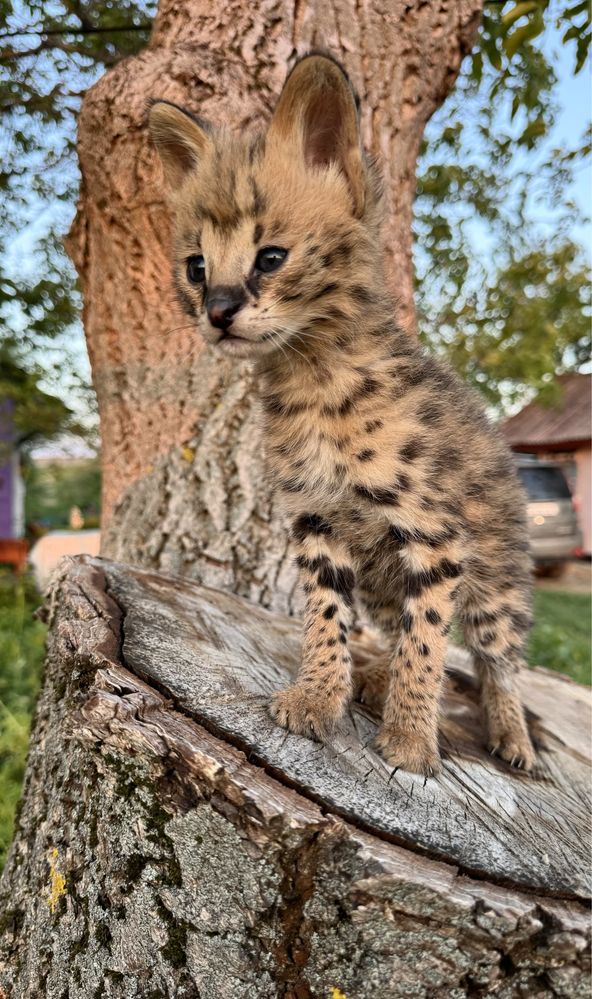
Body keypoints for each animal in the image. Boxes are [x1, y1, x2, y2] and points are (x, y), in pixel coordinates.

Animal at [149, 54, 536, 776]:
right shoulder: (318, 517)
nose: (216, 312)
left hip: (497, 582)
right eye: (195, 267)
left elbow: (428, 641)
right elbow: (327, 615)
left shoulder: (435, 535)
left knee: (496, 659)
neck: (311, 378)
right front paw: (320, 693)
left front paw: (410, 738)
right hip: (387, 584)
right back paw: (374, 678)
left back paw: (513, 735)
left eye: (271, 257)